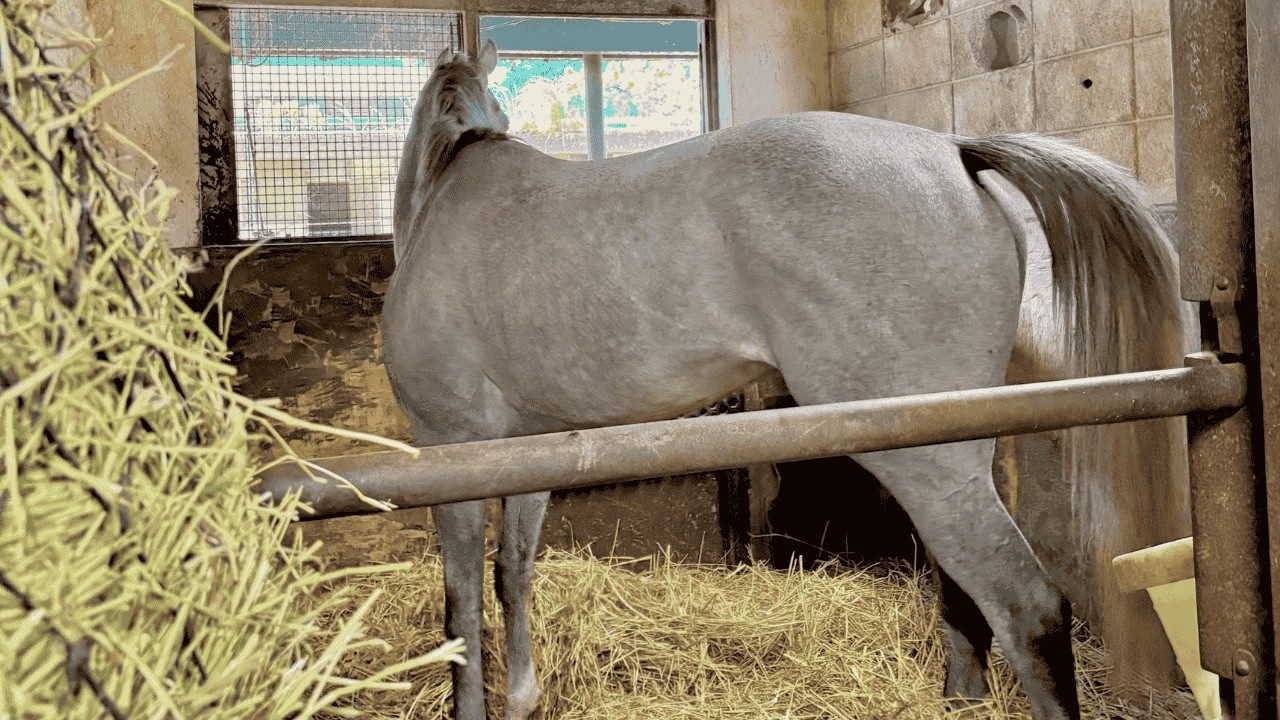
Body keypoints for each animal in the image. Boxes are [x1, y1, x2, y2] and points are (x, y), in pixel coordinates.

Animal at [382, 40, 1188, 720]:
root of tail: (954, 153)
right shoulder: (531, 454)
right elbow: (511, 574)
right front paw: (521, 696)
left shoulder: (450, 446)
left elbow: (460, 600)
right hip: (956, 455)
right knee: (966, 594)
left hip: (926, 461)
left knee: (1029, 608)